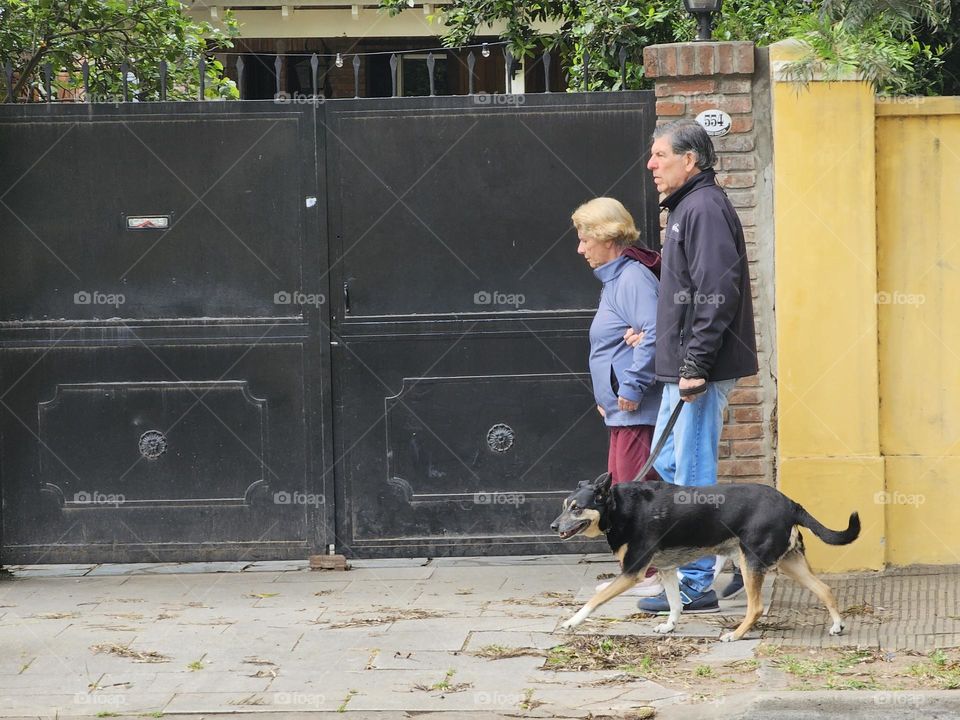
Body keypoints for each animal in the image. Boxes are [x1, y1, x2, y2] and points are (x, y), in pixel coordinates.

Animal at [552, 472, 860, 640]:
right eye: (565, 505)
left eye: (577, 508)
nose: (553, 526)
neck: (618, 507)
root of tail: (790, 503)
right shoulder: (666, 569)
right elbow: (675, 604)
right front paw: (669, 627)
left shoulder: (632, 572)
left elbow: (594, 601)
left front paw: (572, 621)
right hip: (790, 562)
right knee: (825, 589)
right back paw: (837, 625)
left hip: (750, 562)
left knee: (756, 607)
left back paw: (735, 634)